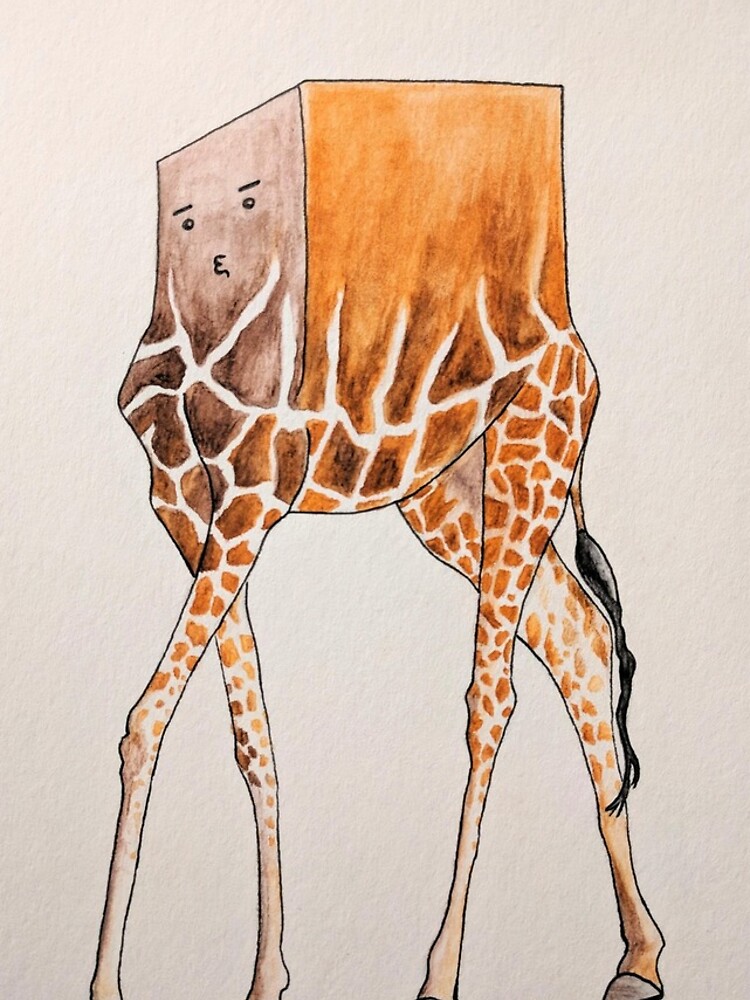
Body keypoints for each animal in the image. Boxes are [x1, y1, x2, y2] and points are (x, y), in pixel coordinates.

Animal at [92, 81, 664, 1000]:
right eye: (185, 217)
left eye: (248, 202)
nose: (215, 260)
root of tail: (573, 342)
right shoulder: (186, 507)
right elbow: (250, 733)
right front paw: (267, 977)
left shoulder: (248, 497)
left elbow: (147, 717)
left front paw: (105, 983)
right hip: (450, 498)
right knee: (577, 636)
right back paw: (639, 958)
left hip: (529, 456)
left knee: (495, 695)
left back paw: (442, 973)